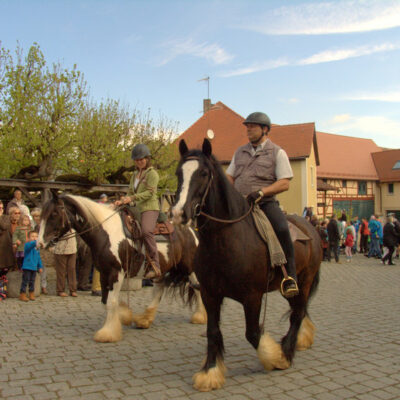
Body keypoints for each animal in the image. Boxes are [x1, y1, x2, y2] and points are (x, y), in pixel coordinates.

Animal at [38, 192, 206, 342]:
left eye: (54, 214)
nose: (39, 243)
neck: (105, 233)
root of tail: (192, 231)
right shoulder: (104, 272)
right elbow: (106, 301)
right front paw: (123, 316)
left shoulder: (116, 273)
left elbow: (111, 302)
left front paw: (108, 333)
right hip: (159, 270)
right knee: (158, 291)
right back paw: (145, 319)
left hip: (190, 268)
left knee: (197, 288)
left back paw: (200, 317)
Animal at [172, 140, 322, 390]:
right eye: (178, 174)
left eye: (204, 173)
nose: (178, 213)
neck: (226, 238)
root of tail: (311, 228)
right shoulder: (210, 294)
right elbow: (212, 331)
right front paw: (210, 372)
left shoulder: (252, 297)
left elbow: (252, 333)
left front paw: (275, 357)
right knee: (297, 312)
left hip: (304, 281)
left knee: (297, 314)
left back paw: (287, 351)